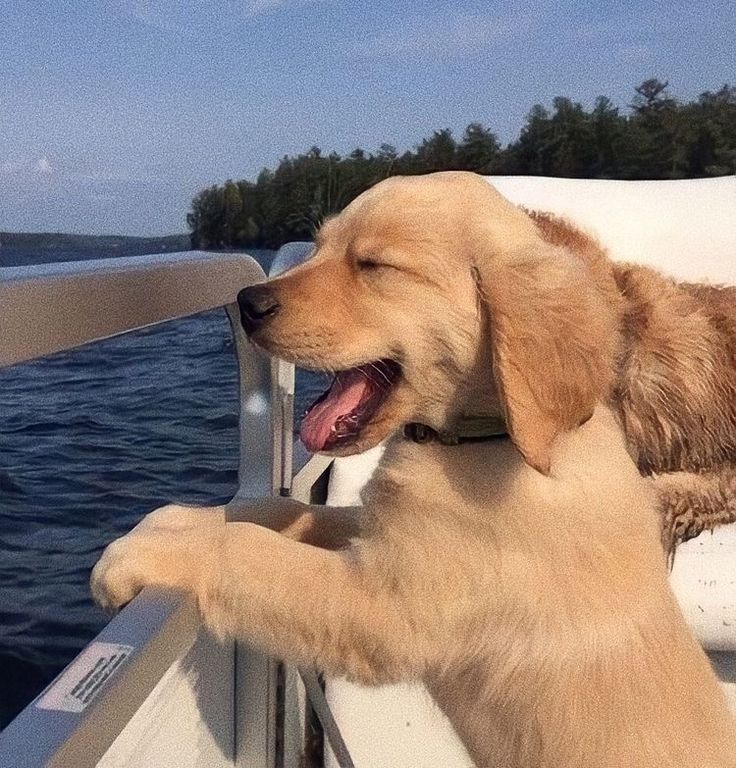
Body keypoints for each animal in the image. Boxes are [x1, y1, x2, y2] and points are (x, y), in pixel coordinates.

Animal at [92, 174, 736, 768]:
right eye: (319, 247)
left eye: (373, 264)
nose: (249, 302)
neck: (481, 440)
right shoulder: (384, 534)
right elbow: (287, 511)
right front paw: (185, 519)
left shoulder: (386, 604)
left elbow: (250, 552)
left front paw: (143, 554)